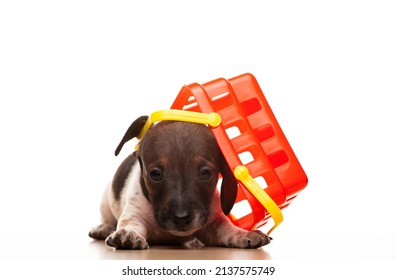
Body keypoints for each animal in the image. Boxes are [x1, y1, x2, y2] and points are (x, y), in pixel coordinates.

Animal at [88, 116, 270, 249]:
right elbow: (130, 224)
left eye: (206, 173)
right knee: (108, 218)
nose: (181, 218)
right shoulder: (134, 214)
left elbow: (228, 229)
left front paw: (243, 233)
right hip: (106, 202)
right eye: (155, 174)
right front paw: (128, 234)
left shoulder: (214, 223)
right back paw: (103, 228)